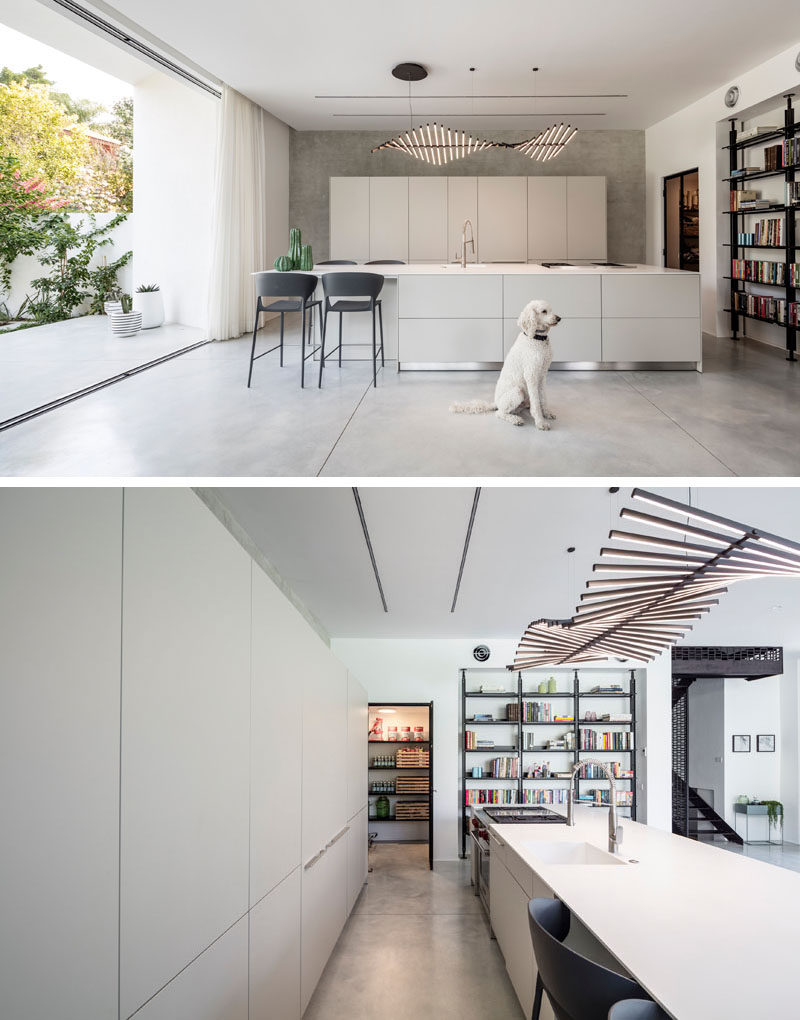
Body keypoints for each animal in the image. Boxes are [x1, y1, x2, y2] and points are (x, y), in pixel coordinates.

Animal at [448, 301, 563, 430]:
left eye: (551, 310)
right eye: (544, 311)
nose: (559, 318)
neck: (536, 339)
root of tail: (496, 403)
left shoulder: (542, 375)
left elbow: (543, 398)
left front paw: (547, 413)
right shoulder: (531, 375)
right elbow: (536, 402)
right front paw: (540, 422)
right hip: (517, 392)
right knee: (500, 413)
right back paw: (516, 420)